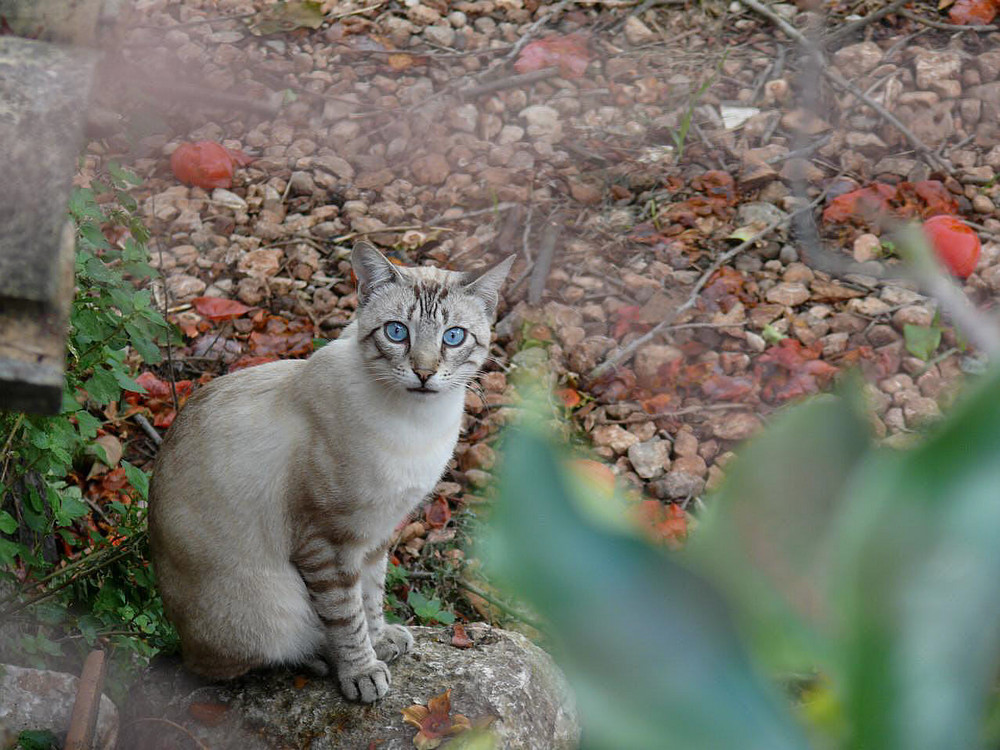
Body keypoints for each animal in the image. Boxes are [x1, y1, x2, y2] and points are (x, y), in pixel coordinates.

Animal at [148, 242, 516, 704]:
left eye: (454, 337)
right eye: (397, 332)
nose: (424, 373)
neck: (418, 426)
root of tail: (180, 642)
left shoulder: (377, 534)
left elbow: (372, 597)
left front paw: (381, 641)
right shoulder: (326, 542)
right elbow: (346, 616)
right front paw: (362, 673)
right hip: (274, 606)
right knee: (237, 664)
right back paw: (320, 658)